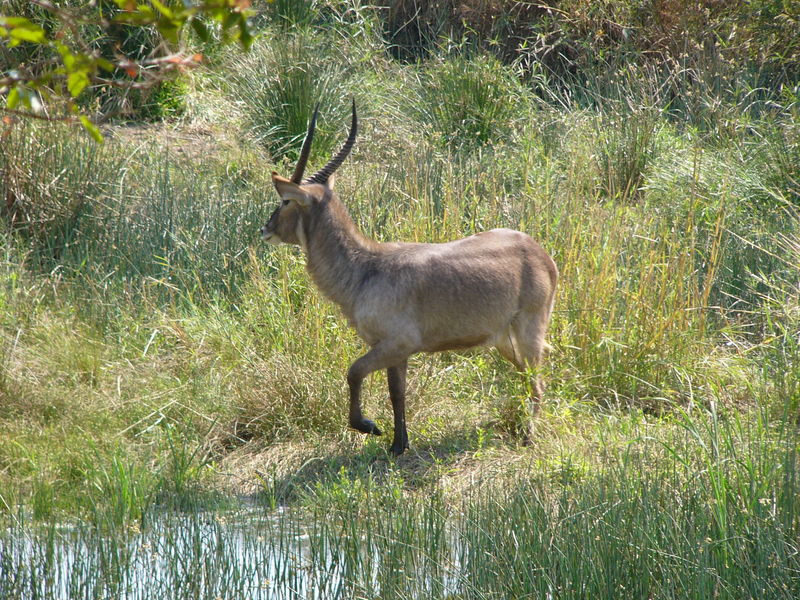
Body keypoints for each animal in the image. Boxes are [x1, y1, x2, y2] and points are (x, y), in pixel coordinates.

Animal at [262, 103, 556, 458]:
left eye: (285, 200)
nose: (265, 228)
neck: (366, 267)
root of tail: (539, 252)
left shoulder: (396, 343)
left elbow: (353, 372)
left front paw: (369, 427)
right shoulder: (392, 351)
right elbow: (396, 393)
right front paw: (398, 445)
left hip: (529, 332)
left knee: (537, 382)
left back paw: (529, 438)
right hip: (503, 341)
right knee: (529, 380)